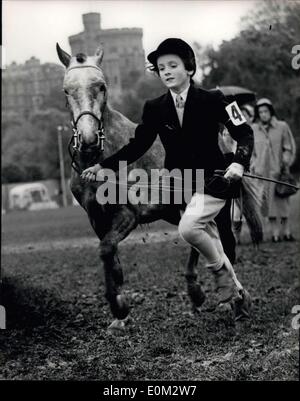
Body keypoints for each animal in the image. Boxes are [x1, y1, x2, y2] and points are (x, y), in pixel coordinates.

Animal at [56, 45, 262, 330]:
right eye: (67, 90)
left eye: (101, 86)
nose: (87, 139)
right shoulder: (96, 217)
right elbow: (108, 255)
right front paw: (118, 311)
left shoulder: (128, 215)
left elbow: (107, 249)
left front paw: (120, 307)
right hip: (177, 210)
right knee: (203, 239)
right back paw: (197, 292)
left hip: (216, 206)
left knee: (224, 243)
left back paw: (222, 298)